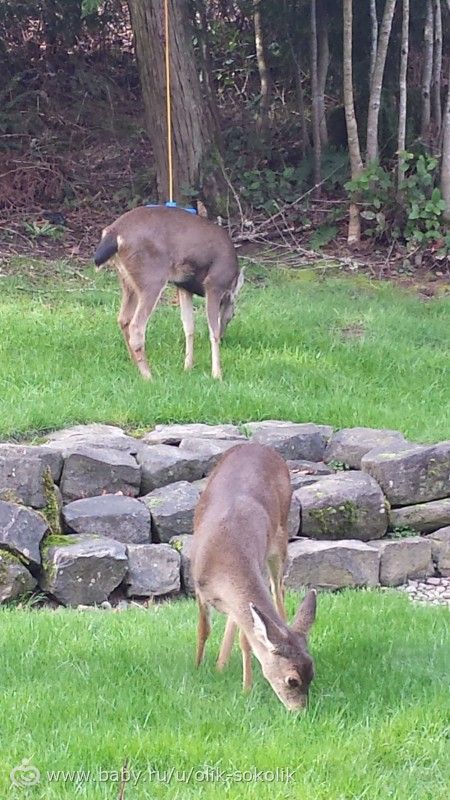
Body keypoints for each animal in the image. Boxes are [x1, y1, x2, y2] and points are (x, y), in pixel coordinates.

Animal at [92, 206, 244, 382]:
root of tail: (113, 233)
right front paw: (217, 374)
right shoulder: (214, 284)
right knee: (136, 326)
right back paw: (148, 376)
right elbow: (213, 331)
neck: (231, 281)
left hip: (126, 279)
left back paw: (135, 365)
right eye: (233, 315)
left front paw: (187, 367)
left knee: (123, 319)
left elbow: (189, 327)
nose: (226, 337)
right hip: (151, 276)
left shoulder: (183, 286)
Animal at [192, 444, 316, 712]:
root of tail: (260, 445)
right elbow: (204, 629)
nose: (301, 712)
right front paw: (198, 667)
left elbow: (246, 638)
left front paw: (246, 688)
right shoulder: (198, 587)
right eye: (292, 680)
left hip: (280, 539)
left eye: (313, 674)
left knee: (278, 594)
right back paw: (220, 665)